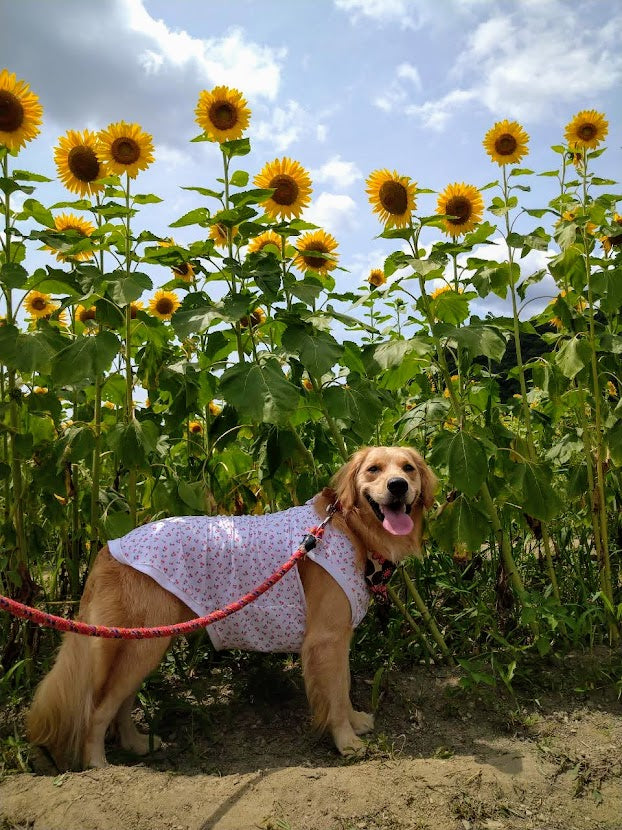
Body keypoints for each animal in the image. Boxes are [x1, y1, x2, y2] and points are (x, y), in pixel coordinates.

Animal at [28, 446, 438, 772]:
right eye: (374, 470)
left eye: (408, 468)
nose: (398, 486)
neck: (348, 529)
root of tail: (107, 549)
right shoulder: (325, 639)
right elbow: (335, 694)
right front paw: (346, 740)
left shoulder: (338, 639)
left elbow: (344, 684)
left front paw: (354, 721)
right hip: (141, 644)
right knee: (97, 709)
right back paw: (98, 766)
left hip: (146, 643)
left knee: (121, 702)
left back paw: (136, 744)